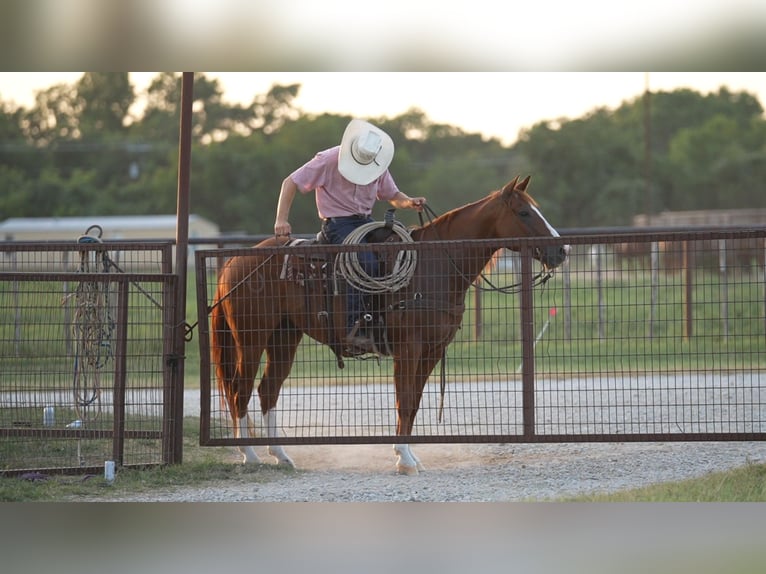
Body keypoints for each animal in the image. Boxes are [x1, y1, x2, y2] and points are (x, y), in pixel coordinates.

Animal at [210, 175, 569, 475]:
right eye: (524, 212)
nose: (562, 250)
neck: (435, 266)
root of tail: (235, 261)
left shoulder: (432, 350)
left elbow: (414, 403)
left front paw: (410, 456)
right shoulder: (408, 349)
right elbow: (404, 400)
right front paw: (404, 459)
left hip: (284, 336)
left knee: (267, 390)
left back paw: (281, 455)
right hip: (251, 337)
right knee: (239, 390)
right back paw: (250, 456)